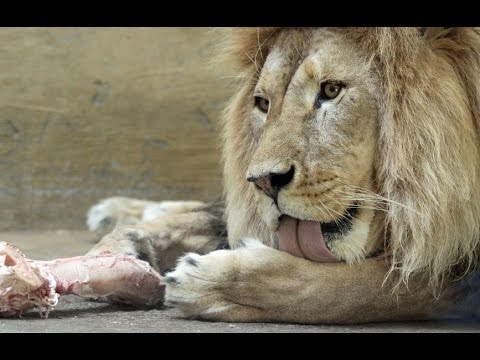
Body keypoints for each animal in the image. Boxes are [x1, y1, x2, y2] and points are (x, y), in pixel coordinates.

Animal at [84, 26, 480, 322]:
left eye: (331, 90)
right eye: (263, 104)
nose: (262, 182)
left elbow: (359, 287)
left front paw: (212, 283)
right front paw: (117, 251)